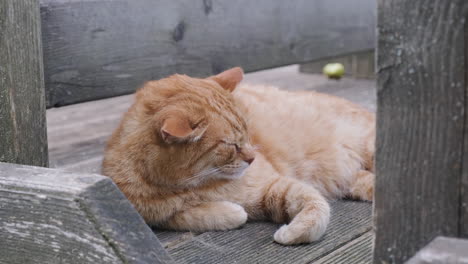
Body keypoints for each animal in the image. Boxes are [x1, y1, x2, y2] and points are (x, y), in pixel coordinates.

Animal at [100, 67, 374, 244]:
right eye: (232, 145)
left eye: (248, 133)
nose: (252, 159)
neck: (188, 186)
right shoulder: (149, 215)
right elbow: (188, 216)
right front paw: (229, 211)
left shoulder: (277, 185)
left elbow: (317, 207)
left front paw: (290, 233)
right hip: (354, 180)